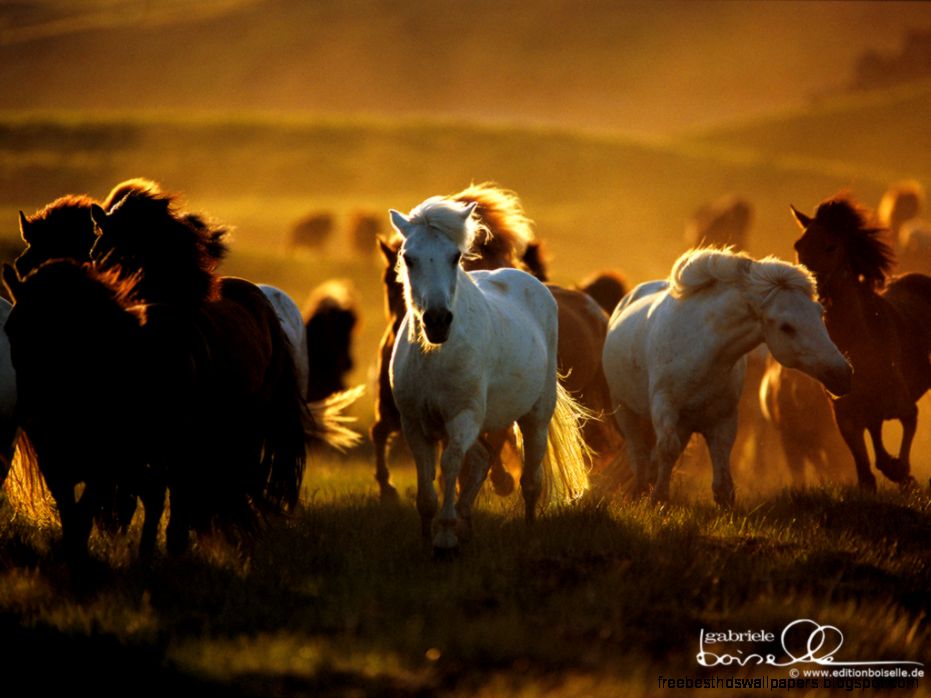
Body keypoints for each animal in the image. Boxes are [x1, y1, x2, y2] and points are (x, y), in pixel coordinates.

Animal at [389, 197, 590, 552]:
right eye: (408, 258)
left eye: (455, 256)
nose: (437, 321)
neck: (434, 357)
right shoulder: (415, 424)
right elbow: (427, 484)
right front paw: (429, 536)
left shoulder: (462, 418)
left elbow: (451, 464)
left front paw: (445, 538)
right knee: (483, 460)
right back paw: (467, 525)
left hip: (535, 418)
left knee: (530, 481)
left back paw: (528, 531)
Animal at [602, 247, 851, 505]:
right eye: (786, 326)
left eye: (820, 312)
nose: (843, 374)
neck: (704, 350)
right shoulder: (665, 407)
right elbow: (667, 450)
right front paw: (659, 499)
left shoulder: (723, 417)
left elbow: (721, 470)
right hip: (624, 409)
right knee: (638, 452)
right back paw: (641, 488)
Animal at [792, 196, 931, 489]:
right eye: (799, 246)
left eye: (831, 245)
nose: (807, 288)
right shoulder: (846, 416)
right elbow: (866, 471)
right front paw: (893, 471)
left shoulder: (903, 406)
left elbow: (908, 426)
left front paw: (903, 473)